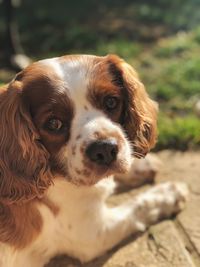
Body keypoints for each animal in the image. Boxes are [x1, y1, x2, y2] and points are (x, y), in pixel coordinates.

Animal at [0, 55, 188, 267]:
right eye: (54, 123)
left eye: (111, 102)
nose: (104, 149)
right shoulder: (94, 234)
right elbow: (139, 205)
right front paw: (169, 194)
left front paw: (141, 165)